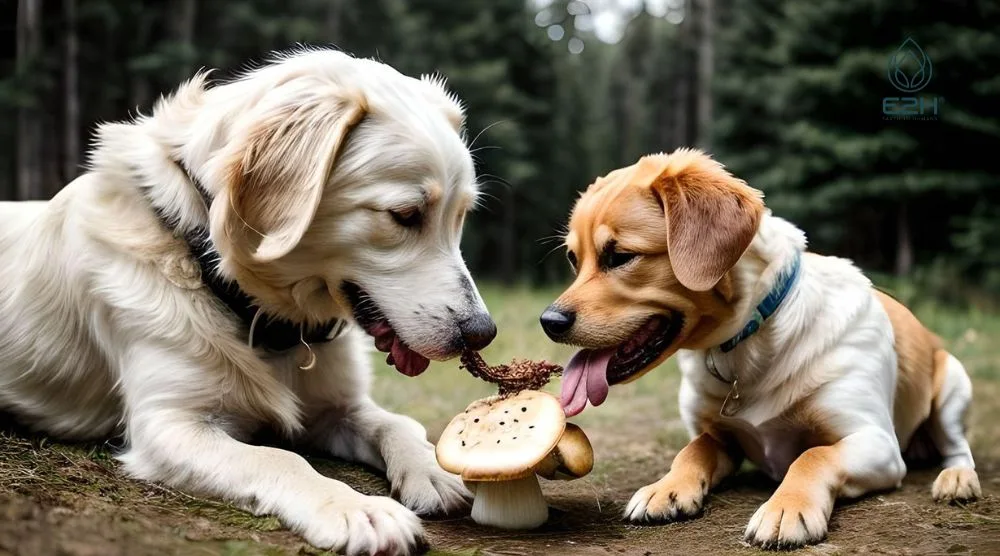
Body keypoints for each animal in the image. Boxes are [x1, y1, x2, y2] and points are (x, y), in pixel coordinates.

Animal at [0, 50, 498, 552]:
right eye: (405, 215)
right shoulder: (170, 425)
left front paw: (433, 467)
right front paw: (357, 508)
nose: (483, 333)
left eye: (461, 216)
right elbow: (279, 459)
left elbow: (395, 423)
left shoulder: (338, 407)